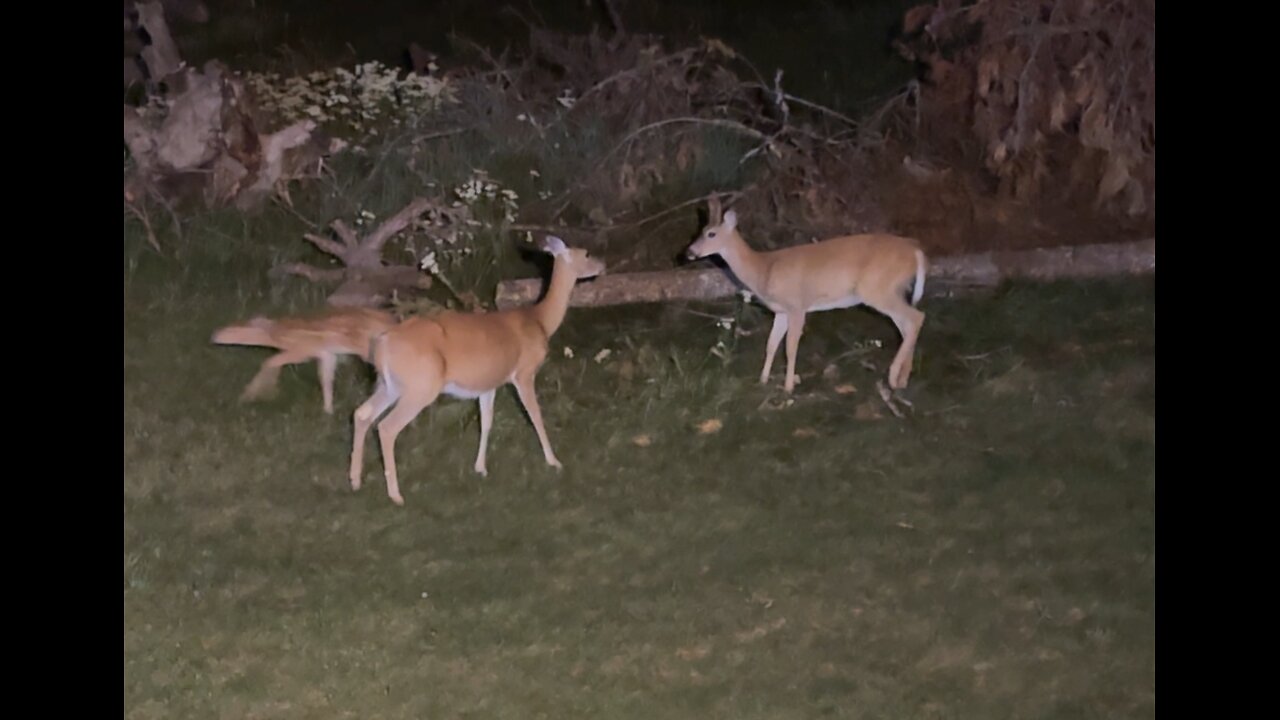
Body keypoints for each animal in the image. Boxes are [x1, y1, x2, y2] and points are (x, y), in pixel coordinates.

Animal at [211, 307, 397, 415]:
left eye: (232, 329)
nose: (213, 335)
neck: (277, 333)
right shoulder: (326, 353)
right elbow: (325, 378)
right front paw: (328, 411)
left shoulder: (303, 350)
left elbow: (271, 360)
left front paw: (253, 394)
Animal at [348, 236, 606, 506]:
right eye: (586, 254)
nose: (603, 265)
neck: (539, 320)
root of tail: (382, 343)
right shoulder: (524, 372)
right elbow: (535, 415)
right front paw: (554, 461)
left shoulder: (488, 384)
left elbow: (486, 421)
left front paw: (480, 467)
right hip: (421, 387)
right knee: (387, 427)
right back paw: (396, 494)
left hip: (389, 384)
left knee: (362, 413)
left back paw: (355, 480)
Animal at [685, 196, 928, 394]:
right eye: (700, 230)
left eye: (711, 233)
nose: (689, 252)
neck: (764, 269)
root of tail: (916, 251)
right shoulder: (780, 311)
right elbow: (771, 344)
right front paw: (762, 380)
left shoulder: (797, 305)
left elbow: (790, 347)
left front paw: (788, 387)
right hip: (891, 289)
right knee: (906, 325)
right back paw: (903, 379)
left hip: (878, 289)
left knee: (916, 317)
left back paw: (893, 377)